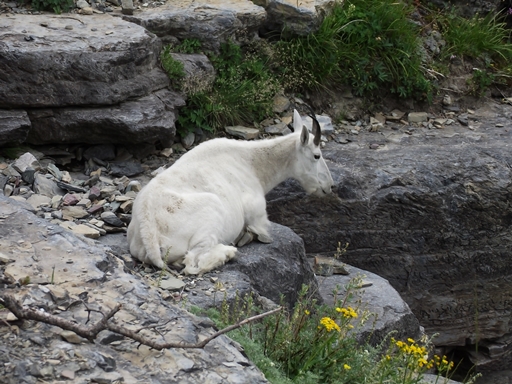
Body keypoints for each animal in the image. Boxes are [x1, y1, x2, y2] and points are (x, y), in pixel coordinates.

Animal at [128, 109, 334, 274]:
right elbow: (261, 231)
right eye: (317, 155)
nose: (329, 186)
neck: (252, 165)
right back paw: (228, 252)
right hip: (210, 215)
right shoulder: (257, 214)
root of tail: (149, 233)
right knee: (193, 263)